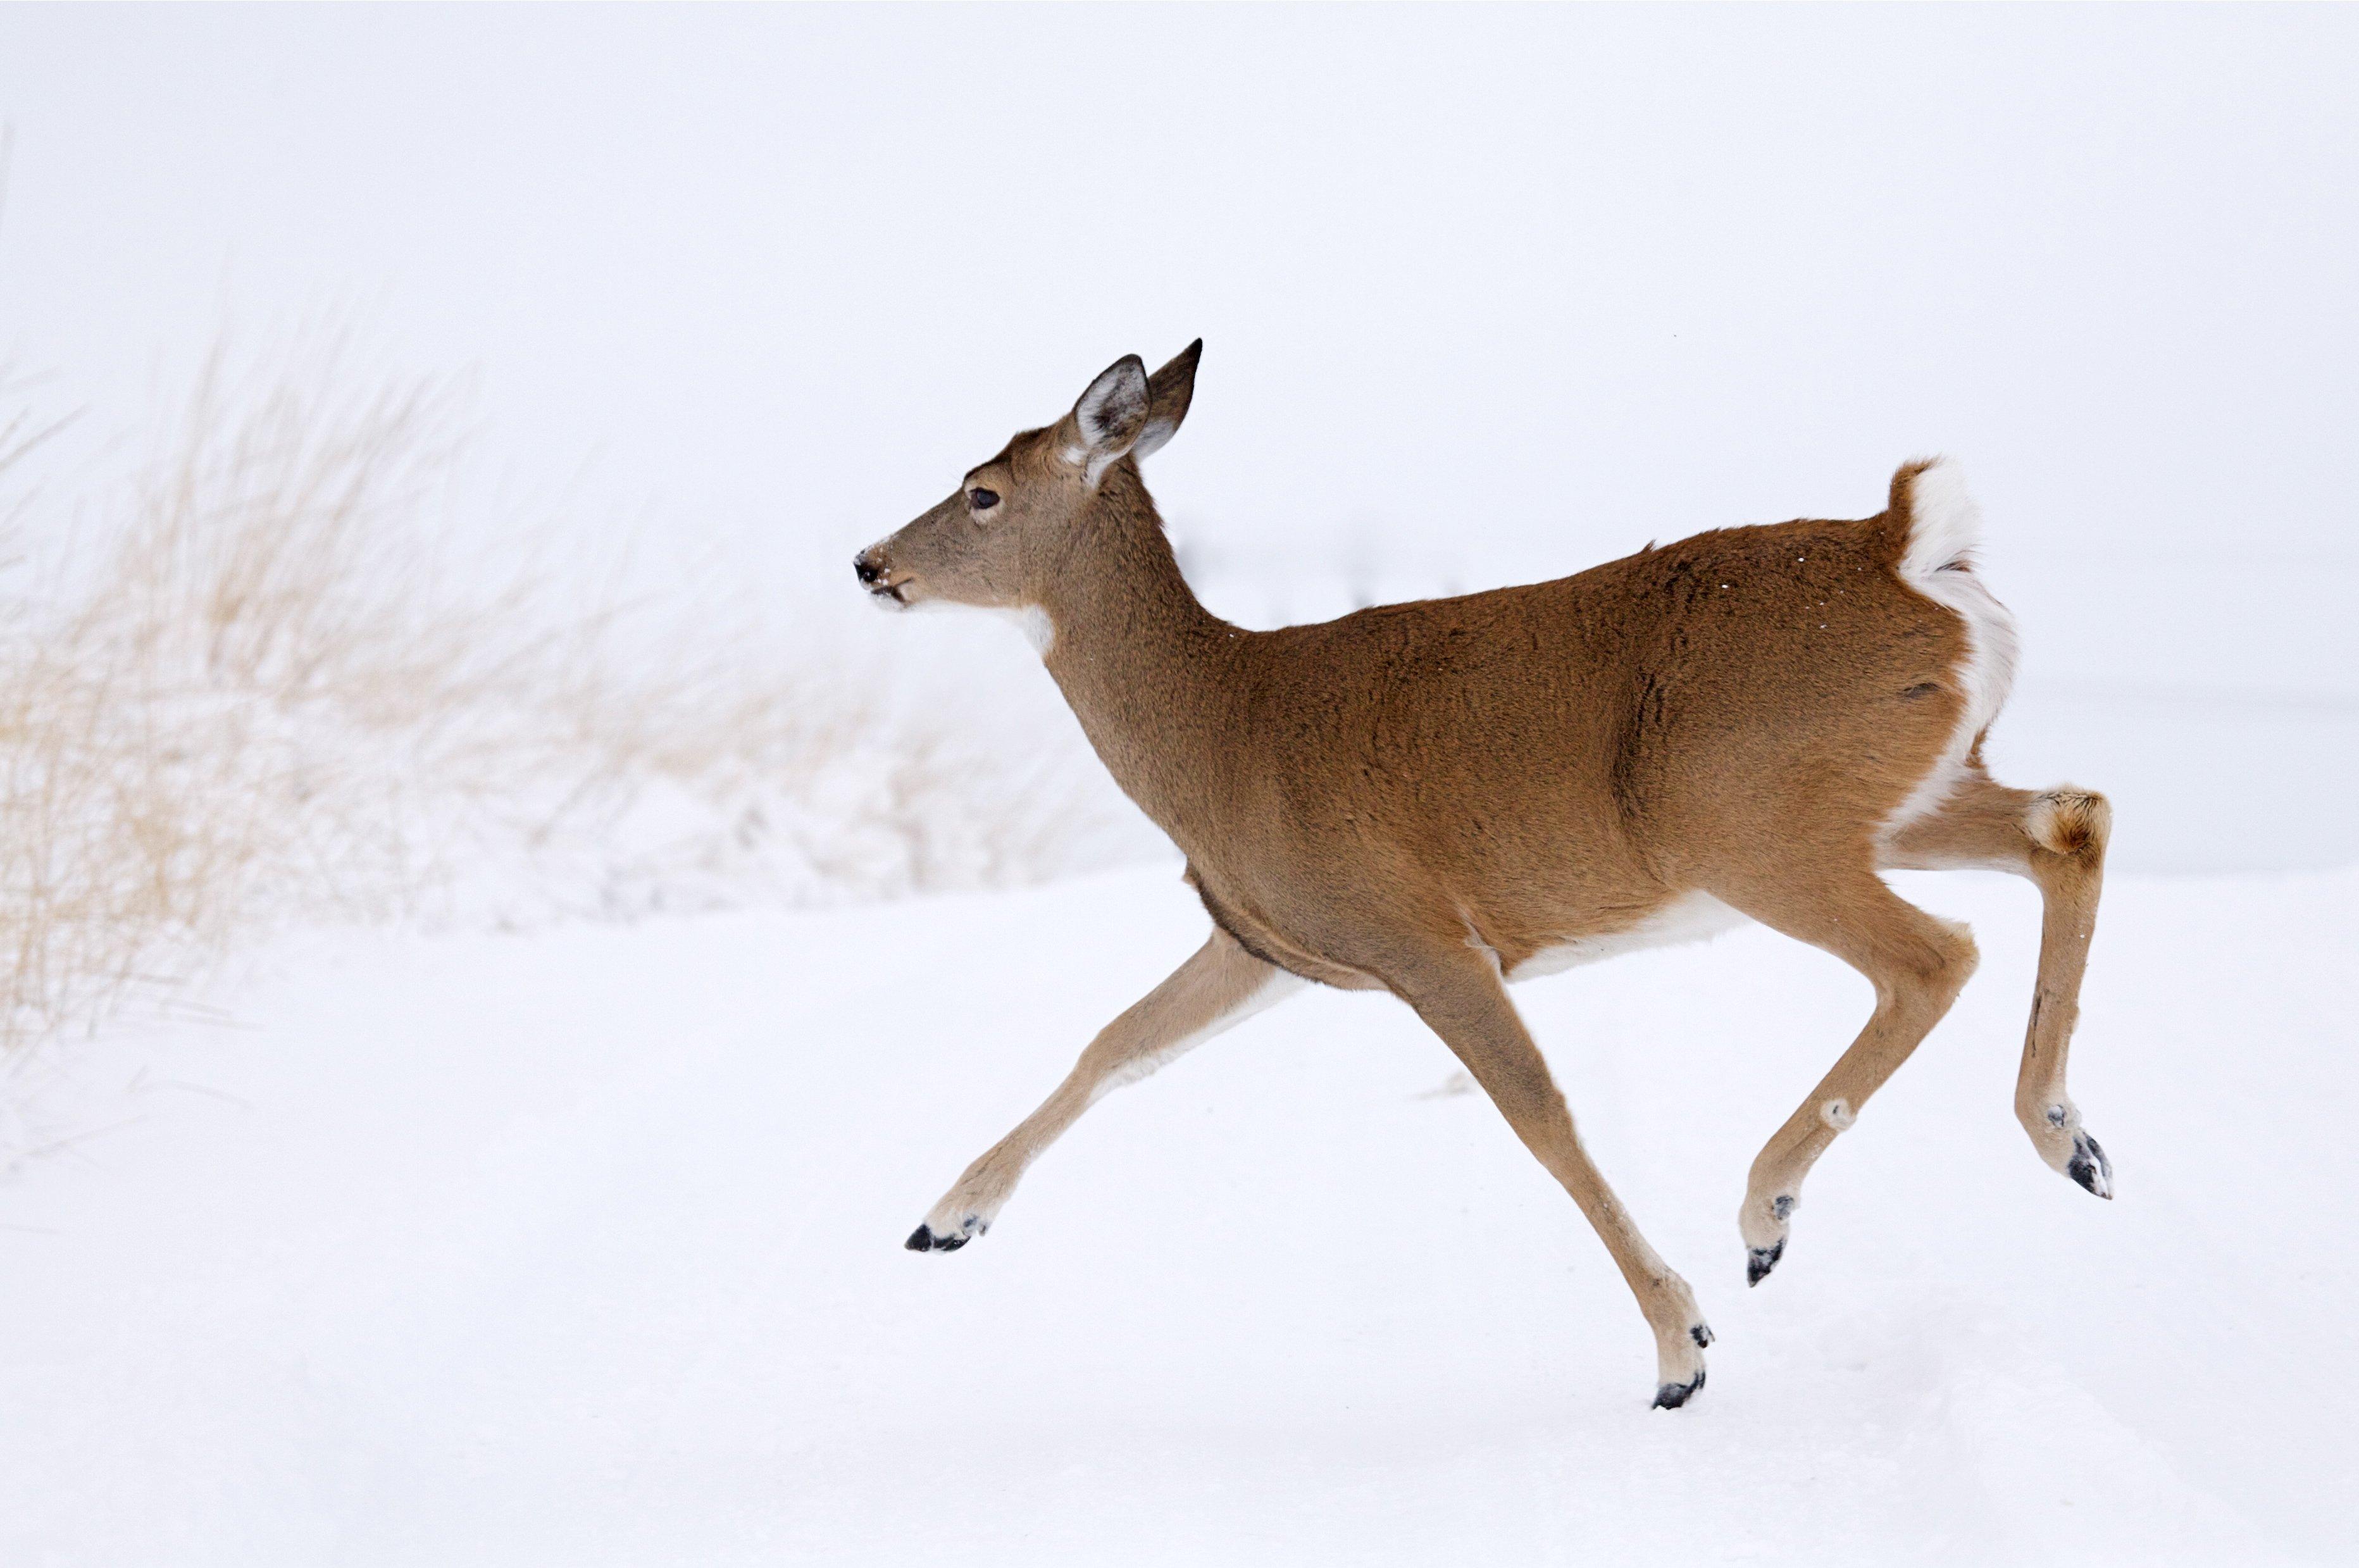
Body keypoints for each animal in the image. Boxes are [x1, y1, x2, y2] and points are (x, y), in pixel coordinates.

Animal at [854, 342, 2123, 1405]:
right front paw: (946, 1218)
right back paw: (2071, 1141)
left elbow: (1539, 1116)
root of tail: (1907, 547)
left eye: (982, 491)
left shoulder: (1419, 933)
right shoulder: (1269, 939)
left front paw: (1679, 1349)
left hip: (1751, 822)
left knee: (1934, 952)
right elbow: (1115, 1043)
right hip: (1900, 797)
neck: (1223, 725)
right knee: (2069, 821)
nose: (871, 562)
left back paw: (1767, 1211)